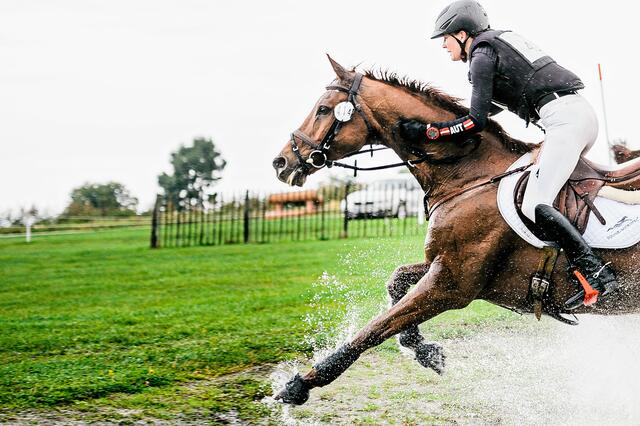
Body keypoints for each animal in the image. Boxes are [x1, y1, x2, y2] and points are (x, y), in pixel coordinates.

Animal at [271, 56, 640, 405]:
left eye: (323, 110)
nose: (281, 162)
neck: (468, 178)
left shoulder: (451, 286)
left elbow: (376, 328)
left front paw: (301, 384)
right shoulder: (442, 265)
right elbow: (396, 282)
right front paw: (423, 348)